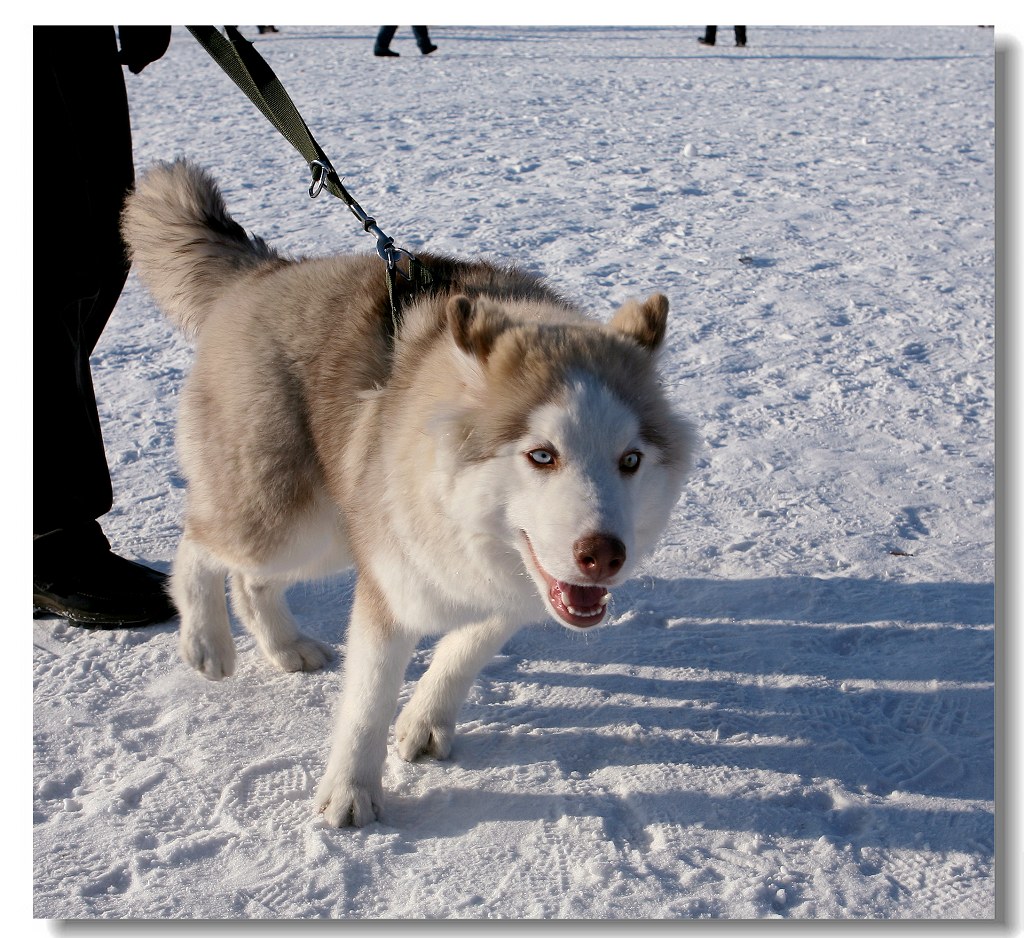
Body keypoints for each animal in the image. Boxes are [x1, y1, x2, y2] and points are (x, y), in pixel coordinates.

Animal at [121, 160, 696, 827]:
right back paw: (206, 639)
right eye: (542, 455)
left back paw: (284, 645)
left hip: (333, 531)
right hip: (290, 520)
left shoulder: (509, 590)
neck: (470, 531)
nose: (602, 556)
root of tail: (270, 270)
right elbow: (368, 698)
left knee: (251, 580)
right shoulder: (391, 584)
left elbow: (466, 649)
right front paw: (351, 791)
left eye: (630, 460)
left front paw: (425, 719)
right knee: (199, 544)